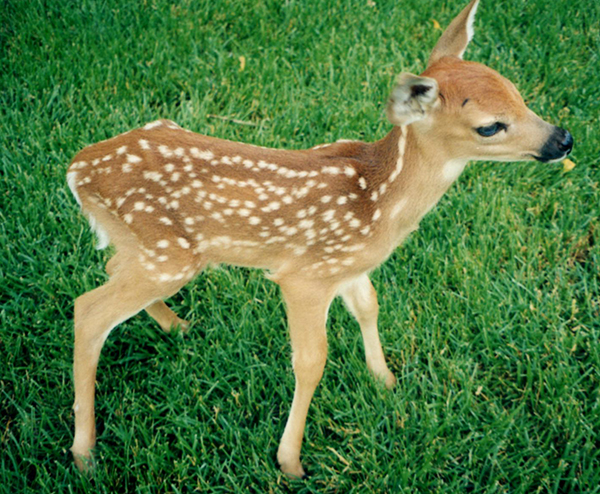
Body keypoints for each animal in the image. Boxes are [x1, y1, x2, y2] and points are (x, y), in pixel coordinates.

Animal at [65, 0, 572, 478]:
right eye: (489, 126)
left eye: (517, 93)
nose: (564, 140)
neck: (379, 201)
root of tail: (75, 170)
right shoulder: (305, 276)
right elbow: (312, 361)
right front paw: (290, 460)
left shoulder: (347, 265)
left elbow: (369, 306)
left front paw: (385, 380)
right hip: (169, 254)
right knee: (88, 310)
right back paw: (84, 452)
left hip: (147, 246)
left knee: (110, 270)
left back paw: (178, 327)